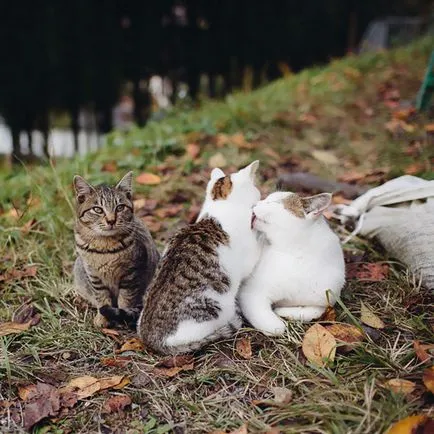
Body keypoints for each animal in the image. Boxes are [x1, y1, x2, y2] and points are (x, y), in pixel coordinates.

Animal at [73, 171, 159, 328]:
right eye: (98, 209)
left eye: (120, 207)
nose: (111, 220)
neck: (105, 247)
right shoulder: (93, 275)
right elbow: (101, 297)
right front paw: (102, 318)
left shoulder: (131, 273)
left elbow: (125, 298)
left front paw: (122, 316)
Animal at [239, 192, 344, 338]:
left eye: (274, 202)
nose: (254, 204)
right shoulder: (251, 293)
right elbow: (276, 327)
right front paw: (278, 323)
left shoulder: (328, 297)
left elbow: (316, 311)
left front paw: (284, 311)